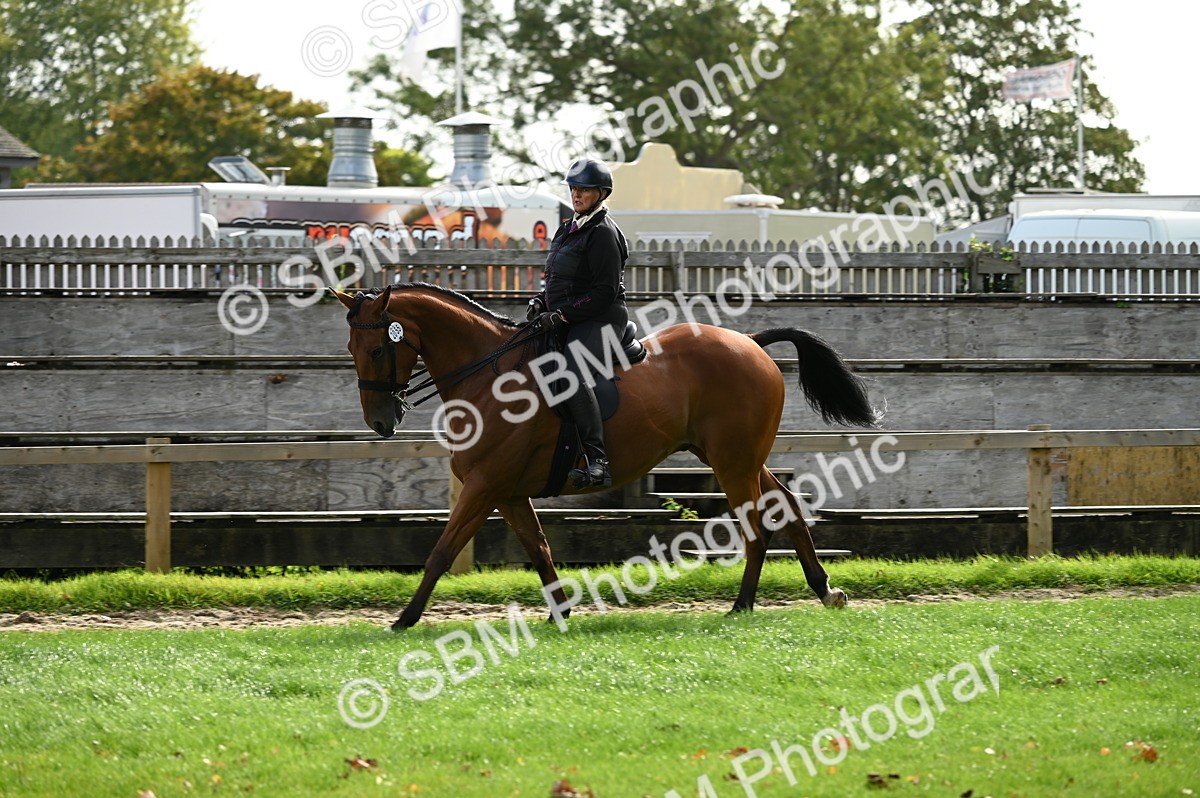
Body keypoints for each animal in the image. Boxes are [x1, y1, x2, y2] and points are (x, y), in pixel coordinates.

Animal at [334, 283, 878, 629]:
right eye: (351, 348)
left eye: (378, 349)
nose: (381, 422)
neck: (489, 376)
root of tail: (750, 342)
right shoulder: (506, 493)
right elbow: (539, 549)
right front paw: (560, 613)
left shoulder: (485, 486)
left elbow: (441, 552)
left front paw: (404, 619)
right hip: (737, 457)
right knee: (786, 506)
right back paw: (825, 590)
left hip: (732, 463)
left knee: (756, 528)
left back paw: (742, 606)